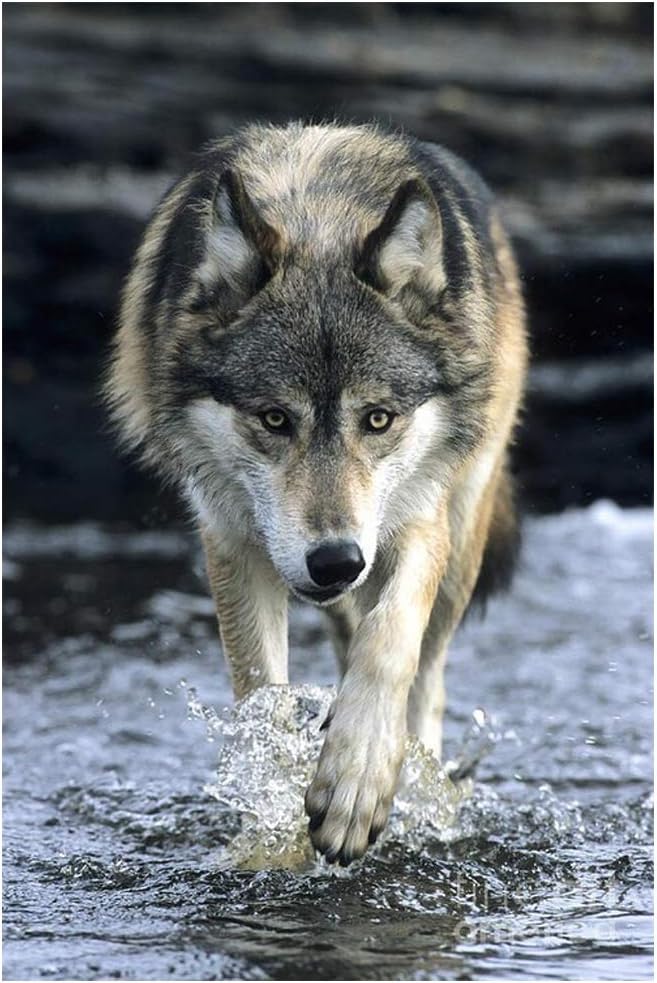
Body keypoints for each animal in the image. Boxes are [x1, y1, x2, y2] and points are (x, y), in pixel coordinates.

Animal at [106, 121, 527, 865]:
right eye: (275, 418)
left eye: (378, 418)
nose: (334, 561)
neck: (319, 211)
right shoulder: (233, 542)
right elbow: (263, 702)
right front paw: (269, 839)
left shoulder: (417, 522)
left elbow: (390, 645)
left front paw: (359, 776)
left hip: (459, 538)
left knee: (426, 674)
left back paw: (422, 786)